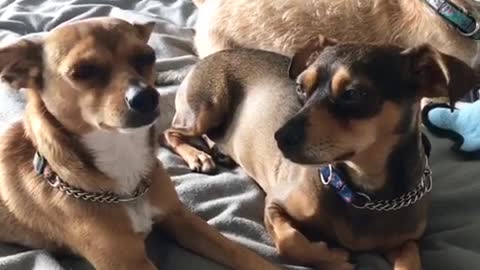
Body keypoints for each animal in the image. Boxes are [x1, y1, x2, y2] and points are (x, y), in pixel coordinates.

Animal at [0, 17, 280, 270]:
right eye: (82, 72)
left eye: (148, 56)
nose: (146, 97)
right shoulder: (128, 262)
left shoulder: (181, 218)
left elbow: (240, 253)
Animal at [167, 38, 478, 270]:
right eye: (300, 87)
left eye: (353, 93)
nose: (279, 137)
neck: (365, 192)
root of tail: (211, 55)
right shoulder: (274, 204)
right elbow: (290, 243)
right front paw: (335, 258)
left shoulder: (408, 241)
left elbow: (411, 260)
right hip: (206, 107)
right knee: (170, 132)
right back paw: (198, 156)